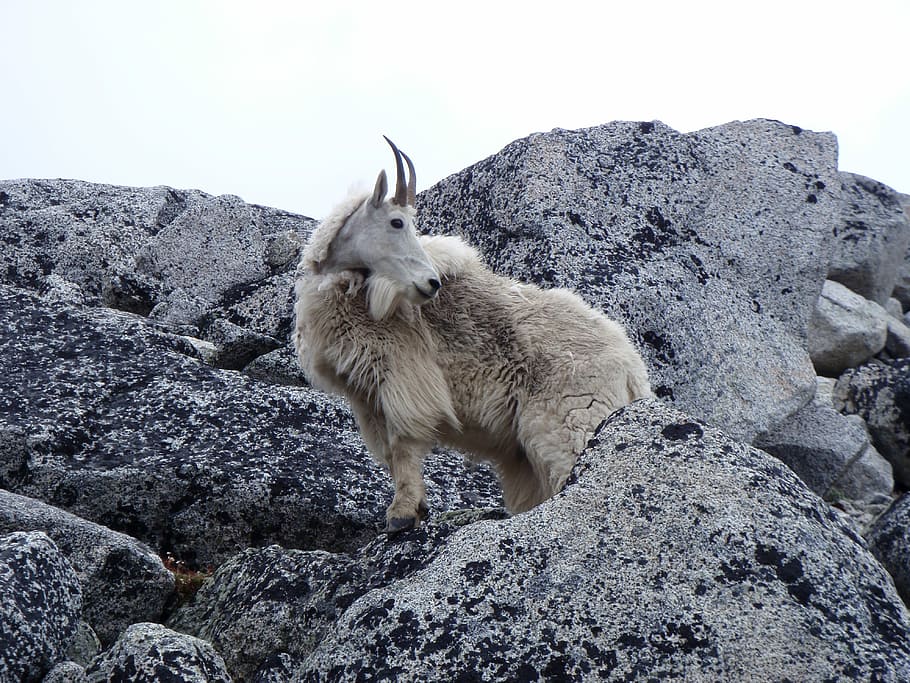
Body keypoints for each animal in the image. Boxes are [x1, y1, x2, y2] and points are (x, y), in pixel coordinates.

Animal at [294, 137, 651, 532]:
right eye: (396, 221)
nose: (431, 283)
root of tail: (633, 370)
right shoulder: (367, 395)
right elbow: (389, 453)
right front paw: (415, 508)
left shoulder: (403, 376)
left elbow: (403, 445)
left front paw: (402, 514)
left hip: (571, 420)